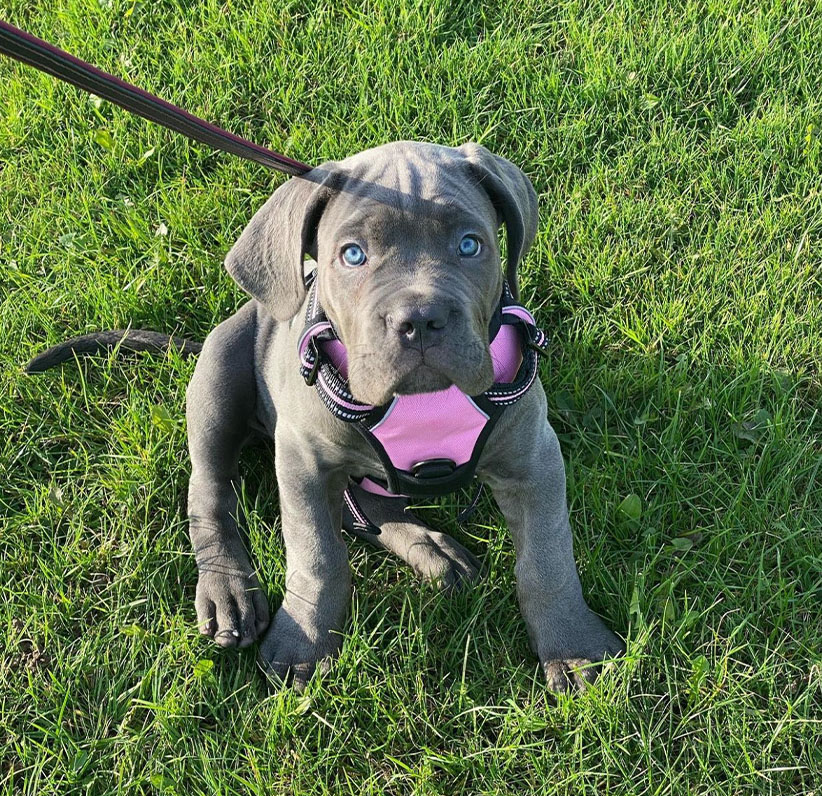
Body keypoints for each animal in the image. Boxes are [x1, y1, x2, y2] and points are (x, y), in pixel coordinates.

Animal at [30, 141, 624, 692]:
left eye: (470, 245)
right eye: (353, 255)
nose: (420, 320)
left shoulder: (533, 458)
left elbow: (547, 557)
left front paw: (573, 646)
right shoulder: (303, 464)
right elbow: (316, 555)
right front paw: (304, 641)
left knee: (364, 502)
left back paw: (429, 549)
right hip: (219, 376)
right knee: (211, 491)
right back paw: (229, 591)